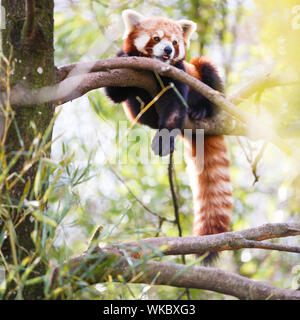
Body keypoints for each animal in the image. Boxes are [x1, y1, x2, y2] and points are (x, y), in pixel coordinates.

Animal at [104, 10, 233, 264]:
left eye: (174, 42)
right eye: (156, 38)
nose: (167, 51)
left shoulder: (179, 75)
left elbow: (175, 106)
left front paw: (163, 140)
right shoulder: (126, 75)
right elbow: (115, 93)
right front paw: (125, 55)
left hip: (203, 76)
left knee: (207, 69)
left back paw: (201, 110)